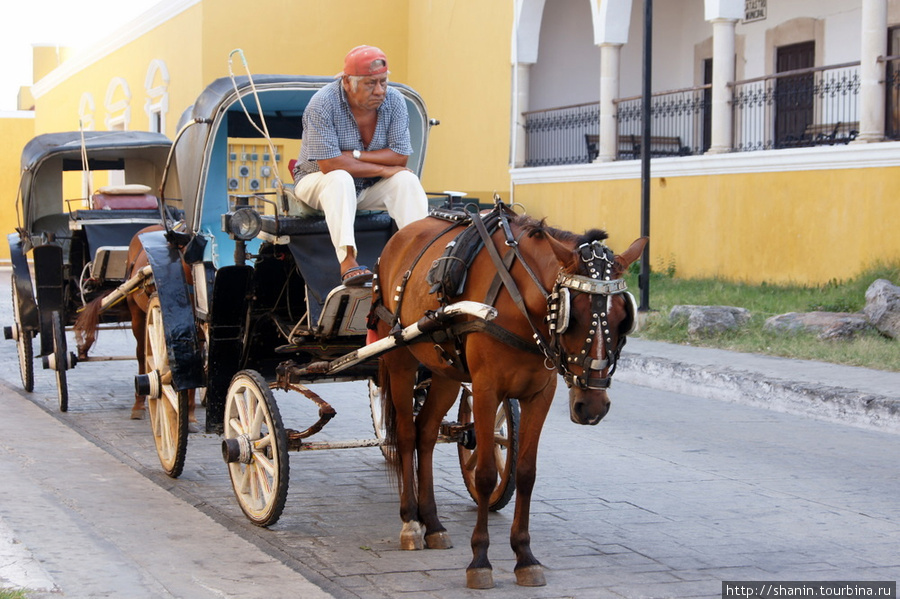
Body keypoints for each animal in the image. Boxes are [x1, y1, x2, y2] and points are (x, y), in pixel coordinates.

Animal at [374, 204, 648, 588]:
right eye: (574, 314)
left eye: (623, 317)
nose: (592, 406)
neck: (520, 305)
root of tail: (400, 237)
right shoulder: (487, 390)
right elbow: (487, 474)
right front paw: (480, 560)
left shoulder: (540, 395)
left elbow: (527, 473)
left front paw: (524, 556)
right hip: (399, 359)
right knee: (407, 435)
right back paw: (412, 522)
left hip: (445, 373)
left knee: (426, 434)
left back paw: (433, 523)